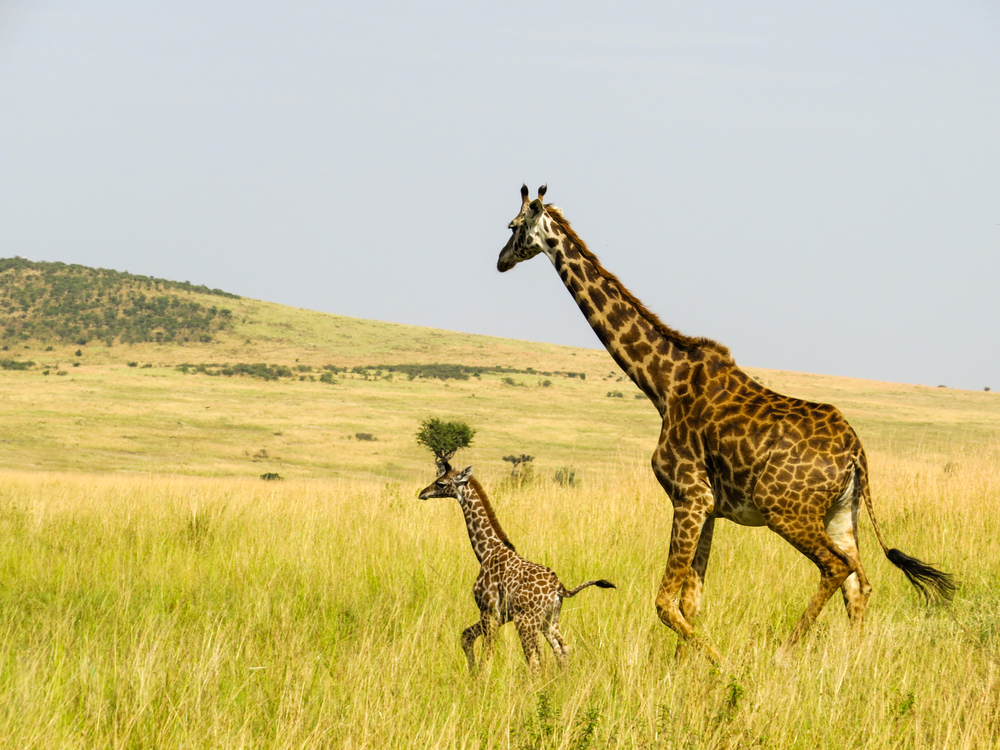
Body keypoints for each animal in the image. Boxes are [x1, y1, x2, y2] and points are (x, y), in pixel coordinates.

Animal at [419, 462, 616, 675]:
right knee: (562, 650)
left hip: (527, 622)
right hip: (549, 622)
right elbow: (466, 636)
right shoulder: (502, 615)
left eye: (441, 483)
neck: (486, 552)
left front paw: (479, 678)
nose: (422, 493)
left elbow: (487, 653)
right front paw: (472, 675)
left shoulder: (488, 610)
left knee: (535, 662)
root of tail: (559, 588)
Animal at [497, 184, 955, 661]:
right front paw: (685, 670)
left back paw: (784, 652)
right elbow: (690, 601)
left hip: (785, 510)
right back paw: (855, 657)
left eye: (512, 226)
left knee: (836, 567)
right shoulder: (709, 507)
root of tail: (856, 454)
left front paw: (719, 663)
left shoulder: (690, 496)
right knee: (858, 582)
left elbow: (665, 602)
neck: (663, 384)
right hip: (841, 513)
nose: (501, 260)